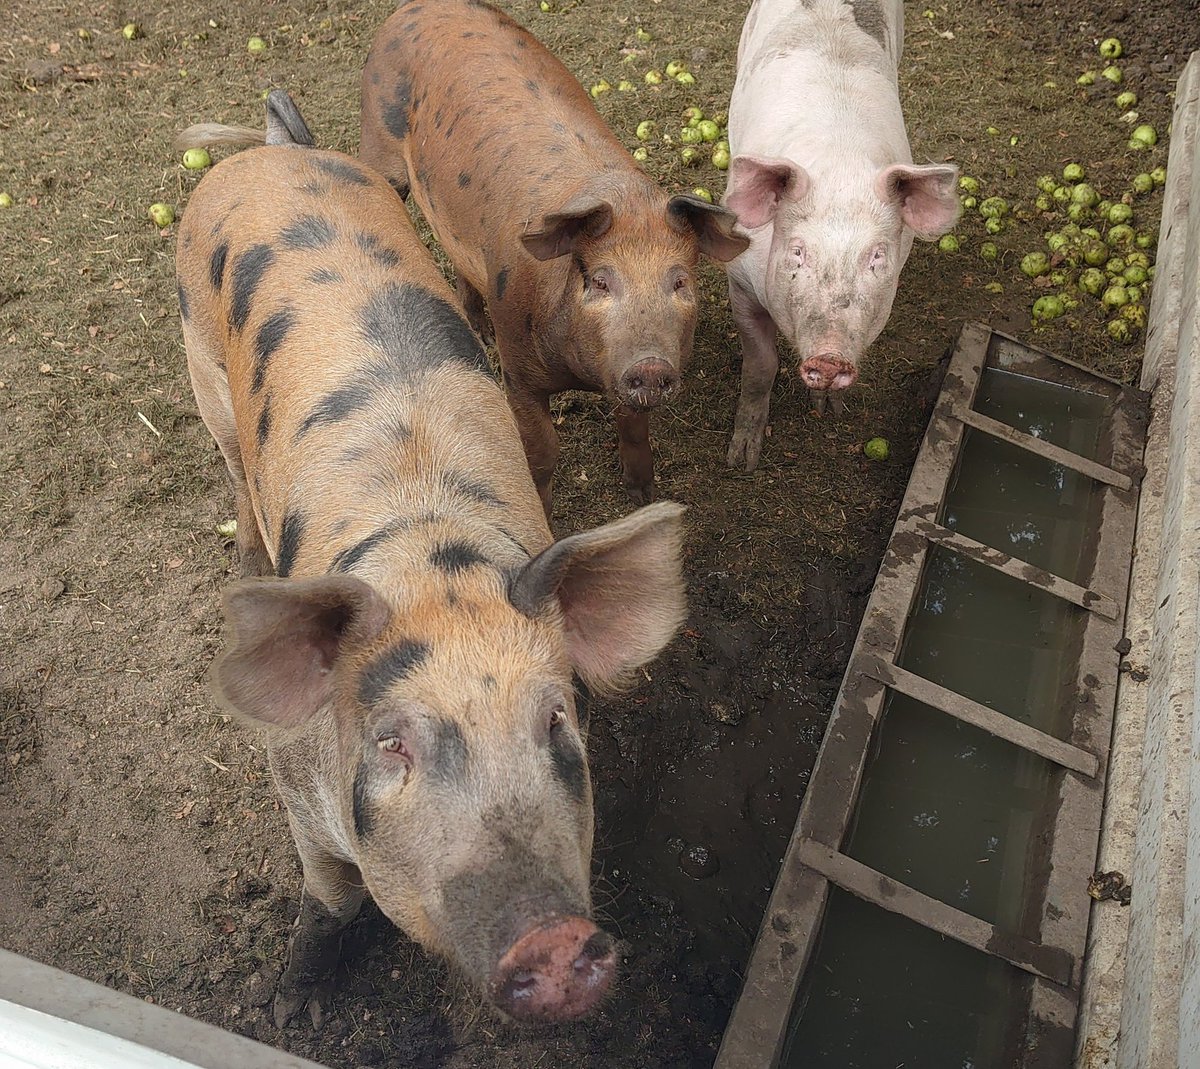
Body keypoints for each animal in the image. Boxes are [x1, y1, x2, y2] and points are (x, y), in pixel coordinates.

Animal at [175, 92, 688, 1028]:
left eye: (557, 719)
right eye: (391, 743)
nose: (553, 941)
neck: (431, 560)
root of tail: (273, 152)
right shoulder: (293, 784)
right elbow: (332, 897)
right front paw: (295, 1011)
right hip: (203, 373)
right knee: (230, 466)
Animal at [358, 0, 749, 514]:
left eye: (680, 281)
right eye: (600, 280)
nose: (650, 365)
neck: (581, 372)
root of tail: (410, 10)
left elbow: (633, 425)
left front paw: (643, 496)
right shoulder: (518, 372)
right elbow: (541, 450)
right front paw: (546, 515)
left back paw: (479, 330)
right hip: (379, 145)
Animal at [722, 0, 960, 471]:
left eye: (878, 257)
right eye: (798, 251)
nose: (830, 358)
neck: (839, 164)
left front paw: (830, 411)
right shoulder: (740, 280)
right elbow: (761, 365)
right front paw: (742, 460)